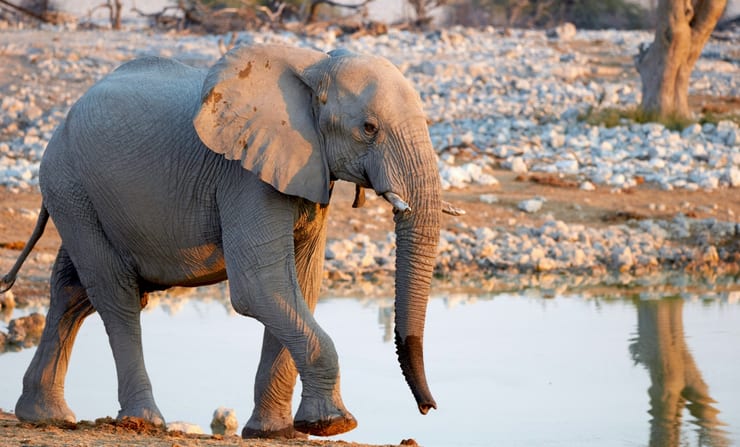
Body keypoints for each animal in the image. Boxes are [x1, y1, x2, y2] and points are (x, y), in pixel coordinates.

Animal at [0, 43, 462, 438]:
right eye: (369, 128)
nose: (429, 408)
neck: (314, 66)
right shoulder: (244, 177)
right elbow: (259, 287)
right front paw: (333, 425)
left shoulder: (305, 171)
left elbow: (301, 285)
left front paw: (274, 432)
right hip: (70, 184)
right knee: (115, 295)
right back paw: (144, 421)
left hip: (79, 195)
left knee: (72, 291)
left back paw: (45, 417)